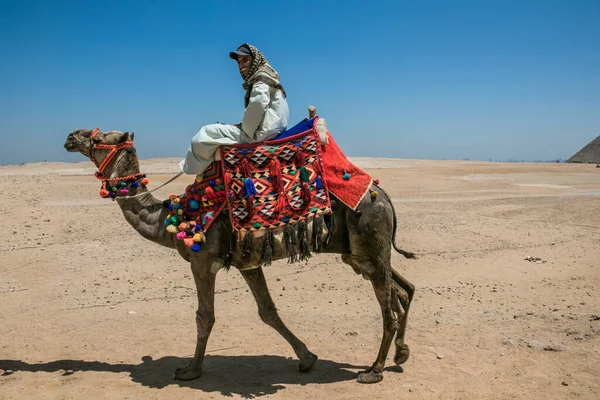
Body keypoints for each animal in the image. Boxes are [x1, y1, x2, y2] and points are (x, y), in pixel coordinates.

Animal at [63, 124, 414, 384]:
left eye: (99, 138)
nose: (71, 135)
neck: (170, 219)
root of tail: (384, 196)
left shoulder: (202, 261)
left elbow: (204, 316)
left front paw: (190, 371)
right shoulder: (249, 263)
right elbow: (268, 312)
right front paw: (307, 358)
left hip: (369, 240)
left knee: (389, 307)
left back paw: (374, 371)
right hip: (360, 254)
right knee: (402, 290)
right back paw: (400, 353)